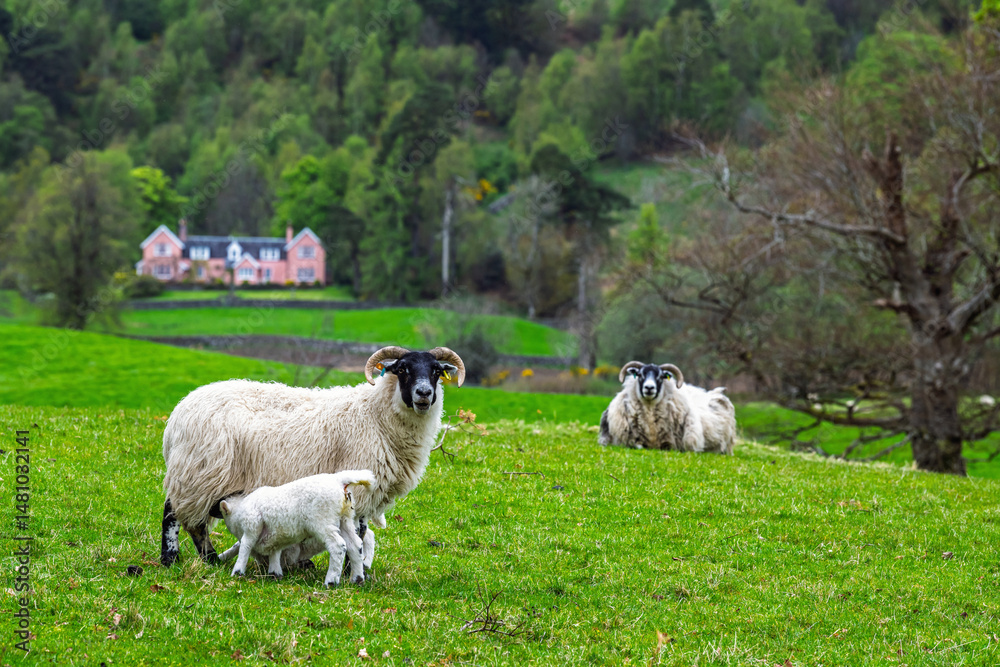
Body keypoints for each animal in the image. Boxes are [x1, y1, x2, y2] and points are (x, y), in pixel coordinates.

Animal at [159, 345, 466, 572]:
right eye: (402, 369)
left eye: (436, 371)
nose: (424, 393)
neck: (375, 414)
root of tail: (178, 413)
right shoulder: (358, 484)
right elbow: (358, 532)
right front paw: (353, 569)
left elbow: (362, 532)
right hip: (199, 472)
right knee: (178, 516)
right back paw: (179, 559)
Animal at [217, 470, 374, 586]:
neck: (241, 510)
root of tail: (338, 480)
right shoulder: (275, 535)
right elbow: (274, 552)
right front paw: (275, 574)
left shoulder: (252, 526)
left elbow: (245, 547)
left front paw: (237, 573)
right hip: (345, 519)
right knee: (355, 545)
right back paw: (357, 579)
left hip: (323, 521)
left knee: (338, 546)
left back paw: (331, 582)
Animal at [598, 361, 736, 454]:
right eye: (640, 375)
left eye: (660, 377)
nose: (649, 388)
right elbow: (637, 445)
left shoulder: (678, 444)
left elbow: (669, 447)